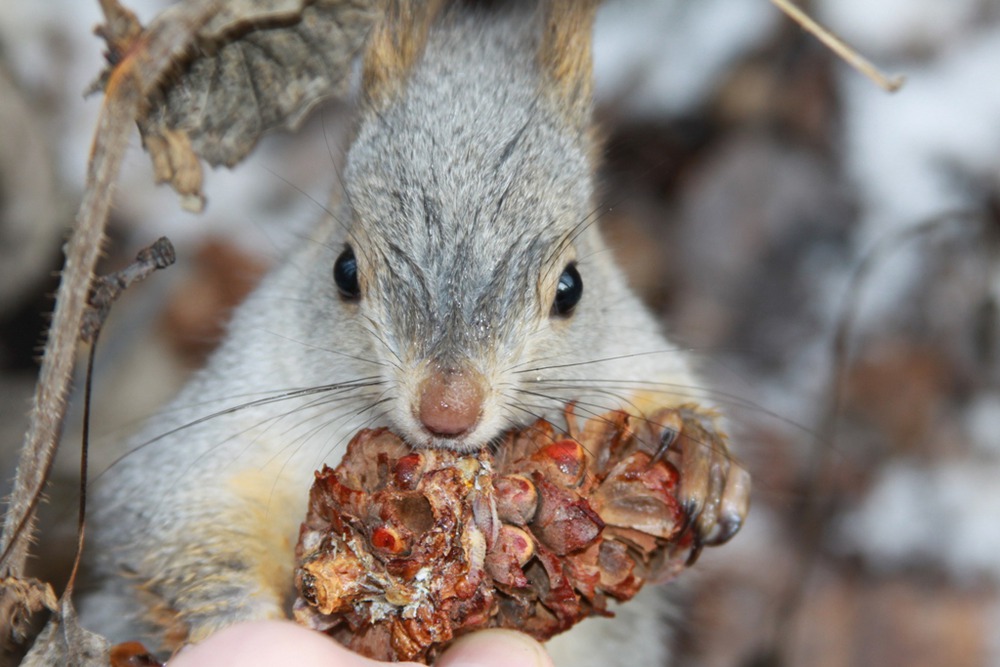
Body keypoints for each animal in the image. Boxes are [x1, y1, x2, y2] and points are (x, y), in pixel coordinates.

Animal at [84, 2, 752, 664]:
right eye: (343, 270)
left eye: (572, 286)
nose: (447, 411)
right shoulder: (235, 404)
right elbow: (176, 515)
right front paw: (234, 616)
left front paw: (697, 445)